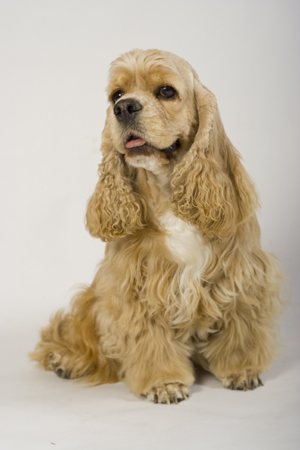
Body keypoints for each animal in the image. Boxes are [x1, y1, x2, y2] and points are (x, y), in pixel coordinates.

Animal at [31, 49, 284, 404]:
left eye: (166, 91)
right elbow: (150, 341)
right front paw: (164, 383)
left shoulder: (241, 274)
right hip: (91, 298)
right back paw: (66, 359)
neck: (167, 191)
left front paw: (241, 370)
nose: (124, 108)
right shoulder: (132, 284)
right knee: (76, 334)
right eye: (116, 95)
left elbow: (241, 329)